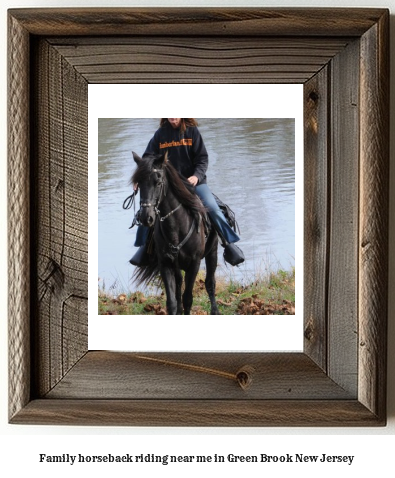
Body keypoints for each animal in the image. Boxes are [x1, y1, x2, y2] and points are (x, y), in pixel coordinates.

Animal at [131, 151, 221, 316]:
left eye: (158, 182)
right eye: (139, 184)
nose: (146, 217)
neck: (176, 227)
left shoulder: (194, 263)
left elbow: (188, 299)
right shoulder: (165, 263)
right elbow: (171, 301)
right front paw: (176, 309)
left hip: (212, 251)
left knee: (210, 282)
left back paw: (215, 311)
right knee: (179, 283)